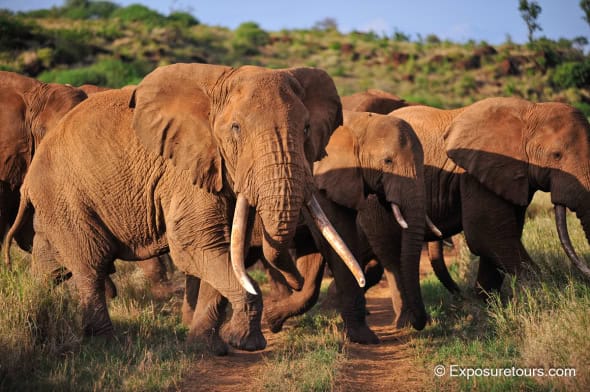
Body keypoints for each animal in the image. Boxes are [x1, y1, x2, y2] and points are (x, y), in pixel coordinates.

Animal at [3, 62, 366, 354]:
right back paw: (105, 344)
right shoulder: (183, 169)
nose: (295, 280)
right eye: (236, 129)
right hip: (66, 195)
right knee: (90, 263)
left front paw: (208, 347)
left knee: (50, 266)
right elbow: (197, 245)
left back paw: (36, 313)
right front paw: (244, 343)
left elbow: (222, 248)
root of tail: (30, 179)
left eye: (306, 129)